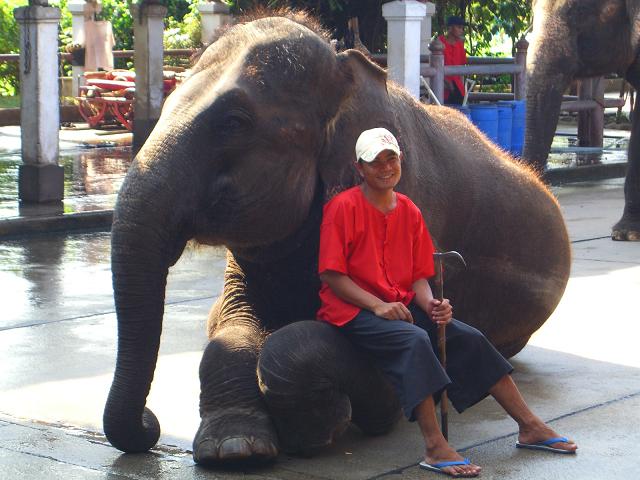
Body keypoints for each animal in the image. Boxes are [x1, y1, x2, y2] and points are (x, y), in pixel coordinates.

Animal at [102, 10, 572, 464]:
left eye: (234, 122)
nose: (149, 423)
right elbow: (229, 326)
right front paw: (235, 449)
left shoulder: (421, 204)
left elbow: (362, 361)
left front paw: (313, 430)